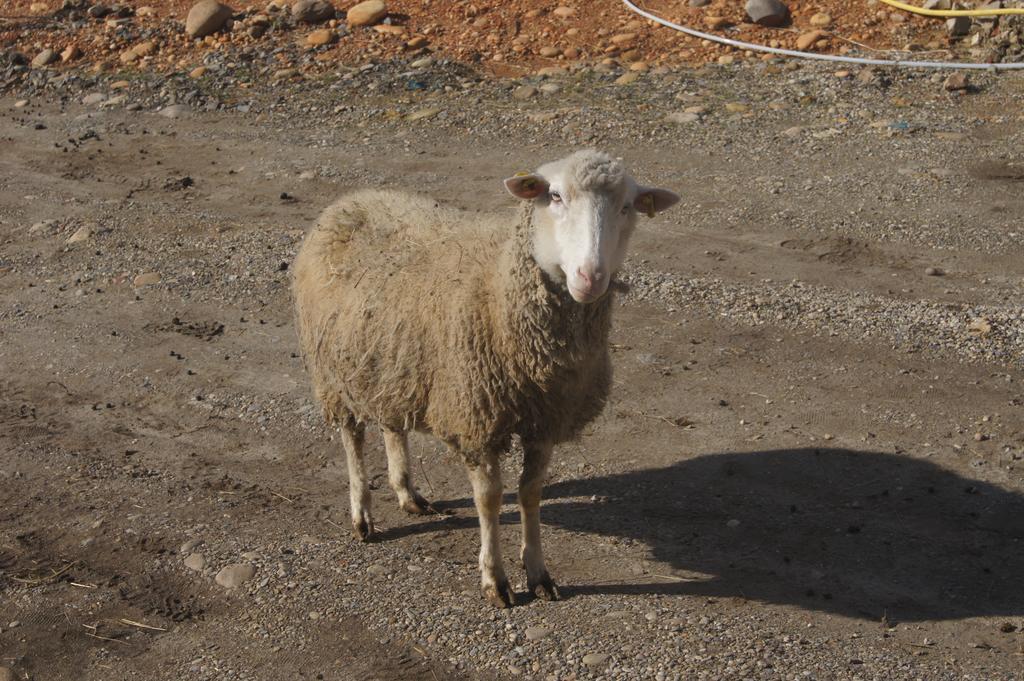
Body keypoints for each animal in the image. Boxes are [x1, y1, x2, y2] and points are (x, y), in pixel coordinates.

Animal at [292, 150, 679, 606]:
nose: (591, 277)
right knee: (352, 437)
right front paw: (495, 578)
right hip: (335, 372)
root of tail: (352, 199)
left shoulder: (545, 421)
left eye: (627, 207)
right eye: (554, 196)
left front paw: (538, 572)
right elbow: (490, 499)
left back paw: (407, 493)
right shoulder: (476, 418)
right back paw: (362, 515)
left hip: (392, 362)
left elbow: (531, 493)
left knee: (392, 423)